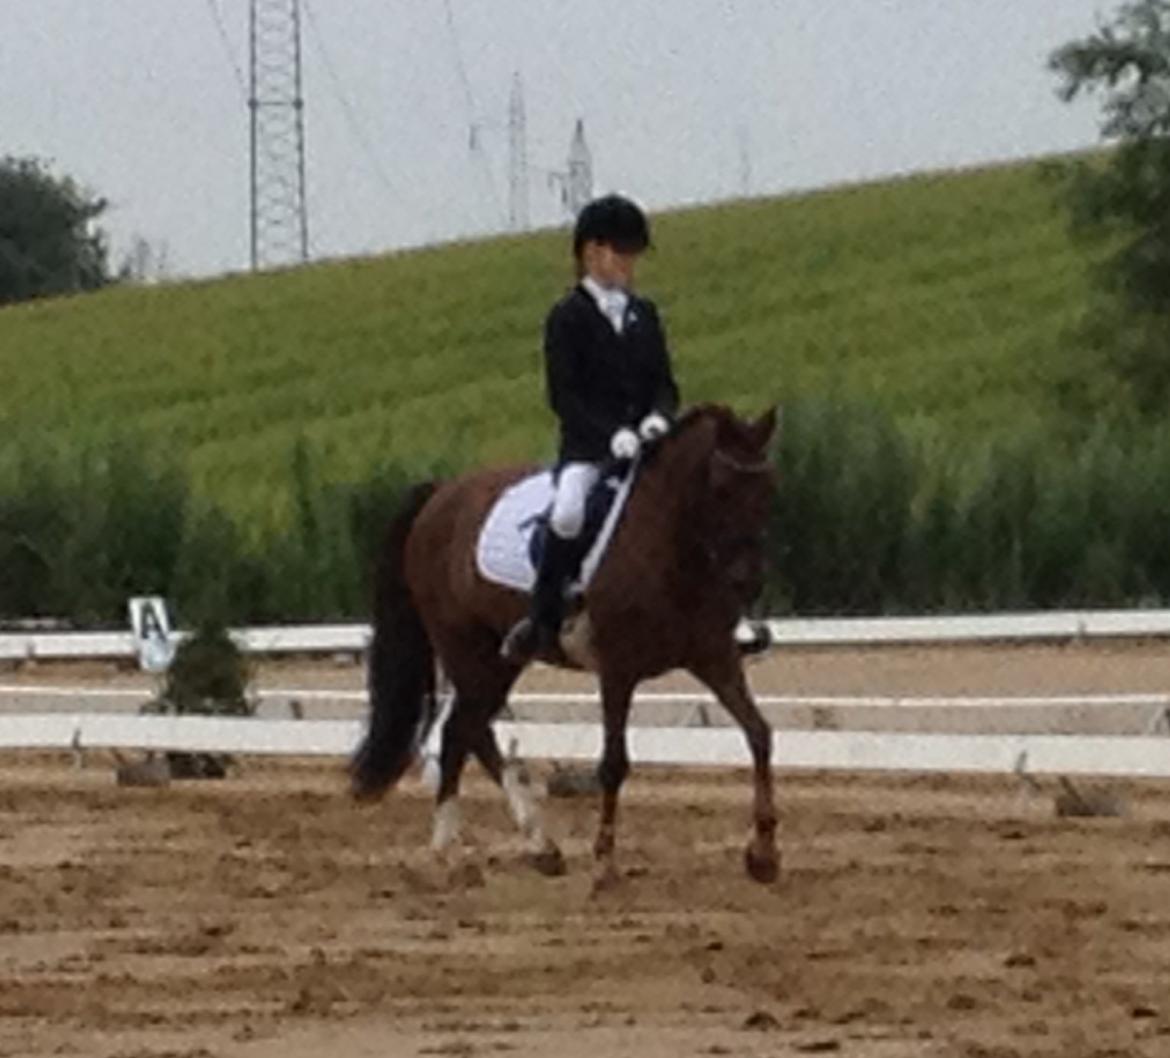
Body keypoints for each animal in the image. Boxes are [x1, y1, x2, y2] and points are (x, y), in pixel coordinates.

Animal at [350, 402, 780, 888]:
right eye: (721, 487)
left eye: (768, 487)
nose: (748, 580)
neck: (672, 547)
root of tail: (441, 493)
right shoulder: (617, 668)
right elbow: (614, 763)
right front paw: (604, 864)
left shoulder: (714, 655)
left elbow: (759, 734)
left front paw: (764, 854)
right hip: (464, 647)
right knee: (460, 731)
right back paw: (453, 852)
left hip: (497, 660)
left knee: (471, 729)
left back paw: (538, 847)